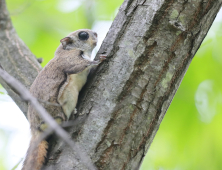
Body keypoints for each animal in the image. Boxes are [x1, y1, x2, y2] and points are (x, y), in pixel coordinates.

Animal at [22, 29, 105, 170]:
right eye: (83, 35)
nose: (96, 34)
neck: (67, 50)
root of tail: (35, 129)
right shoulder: (70, 60)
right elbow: (79, 65)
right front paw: (99, 60)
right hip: (64, 98)